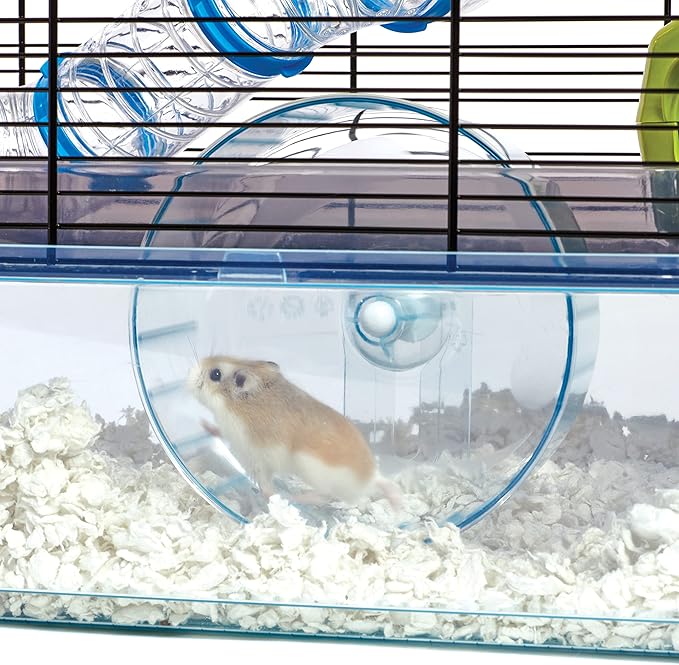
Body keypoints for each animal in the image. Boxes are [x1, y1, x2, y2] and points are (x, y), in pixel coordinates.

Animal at [188, 355, 401, 510]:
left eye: (215, 374)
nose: (189, 373)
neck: (239, 404)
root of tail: (368, 479)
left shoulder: (257, 460)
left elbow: (267, 487)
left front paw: (272, 497)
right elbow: (217, 431)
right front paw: (204, 424)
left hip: (310, 469)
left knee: (324, 495)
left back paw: (297, 497)